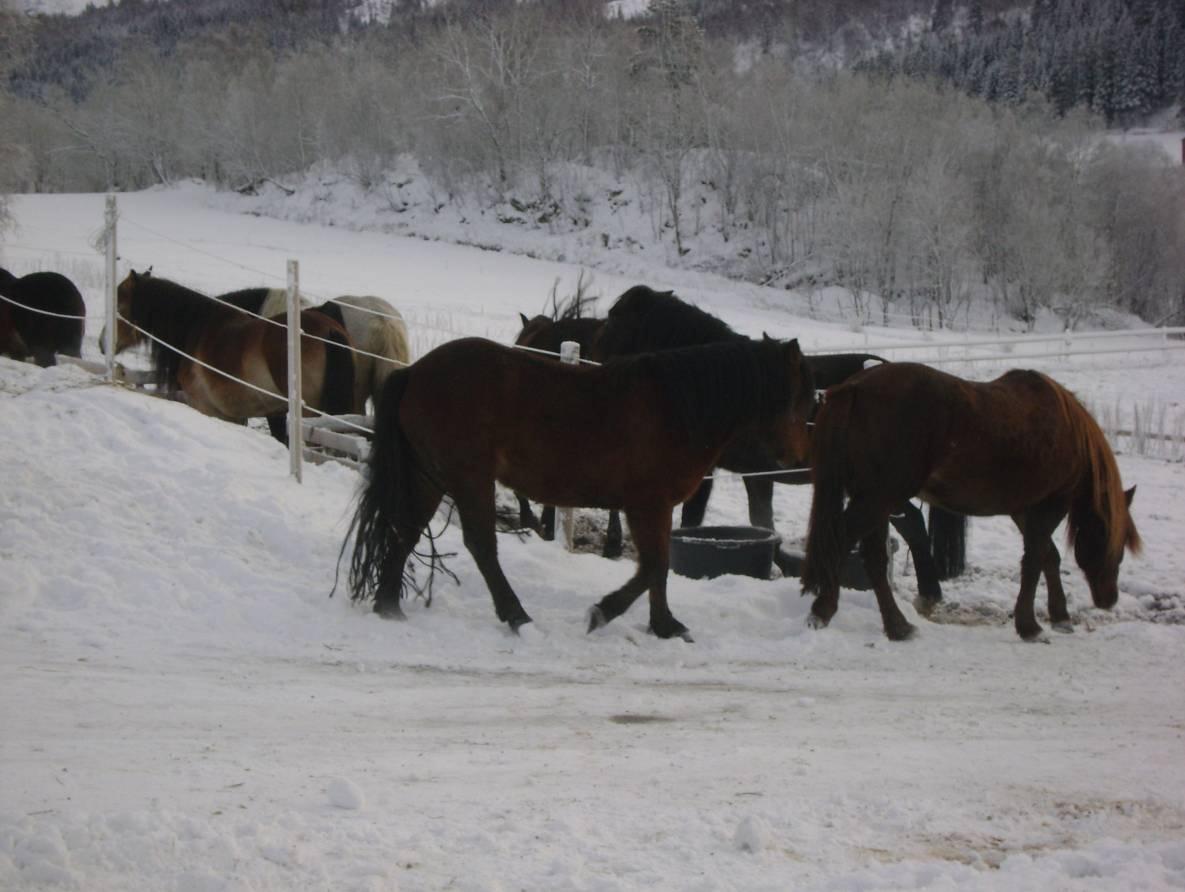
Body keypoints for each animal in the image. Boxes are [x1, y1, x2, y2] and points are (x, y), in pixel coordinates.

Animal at [101, 270, 355, 440]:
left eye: (119, 307)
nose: (103, 342)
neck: (197, 327)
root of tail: (328, 329)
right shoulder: (236, 416)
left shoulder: (207, 409)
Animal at [343, 334, 815, 639]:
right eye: (801, 397)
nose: (798, 457)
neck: (676, 408)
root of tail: (414, 372)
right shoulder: (647, 505)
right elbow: (653, 566)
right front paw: (604, 612)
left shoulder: (656, 507)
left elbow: (659, 568)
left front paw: (664, 625)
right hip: (467, 478)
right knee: (481, 545)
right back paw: (516, 616)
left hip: (431, 478)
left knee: (405, 533)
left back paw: (389, 607)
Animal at [592, 285, 962, 606]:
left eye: (614, 317)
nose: (597, 356)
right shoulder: (754, 474)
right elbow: (761, 520)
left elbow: (693, 520)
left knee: (912, 523)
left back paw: (929, 592)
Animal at [796, 362, 1137, 639]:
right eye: (1115, 543)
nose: (1109, 599)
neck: (1067, 430)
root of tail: (854, 387)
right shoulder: (1050, 503)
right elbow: (1034, 560)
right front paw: (1029, 626)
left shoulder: (1022, 509)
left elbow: (1047, 557)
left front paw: (1059, 616)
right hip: (880, 498)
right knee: (842, 540)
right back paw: (824, 610)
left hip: (874, 500)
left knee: (874, 558)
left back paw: (896, 625)